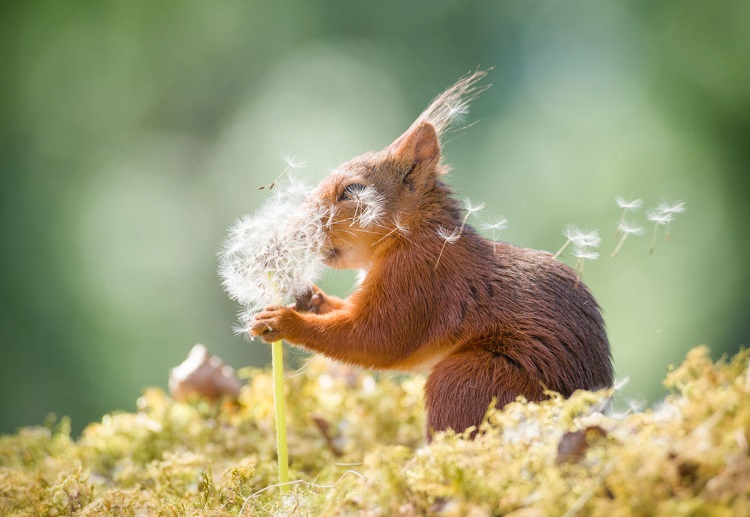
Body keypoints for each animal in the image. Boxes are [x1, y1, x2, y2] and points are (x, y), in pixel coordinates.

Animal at [250, 70, 612, 438]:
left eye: (352, 191)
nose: (296, 228)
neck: (411, 234)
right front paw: (311, 298)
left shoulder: (420, 278)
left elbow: (376, 339)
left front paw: (284, 322)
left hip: (470, 379)